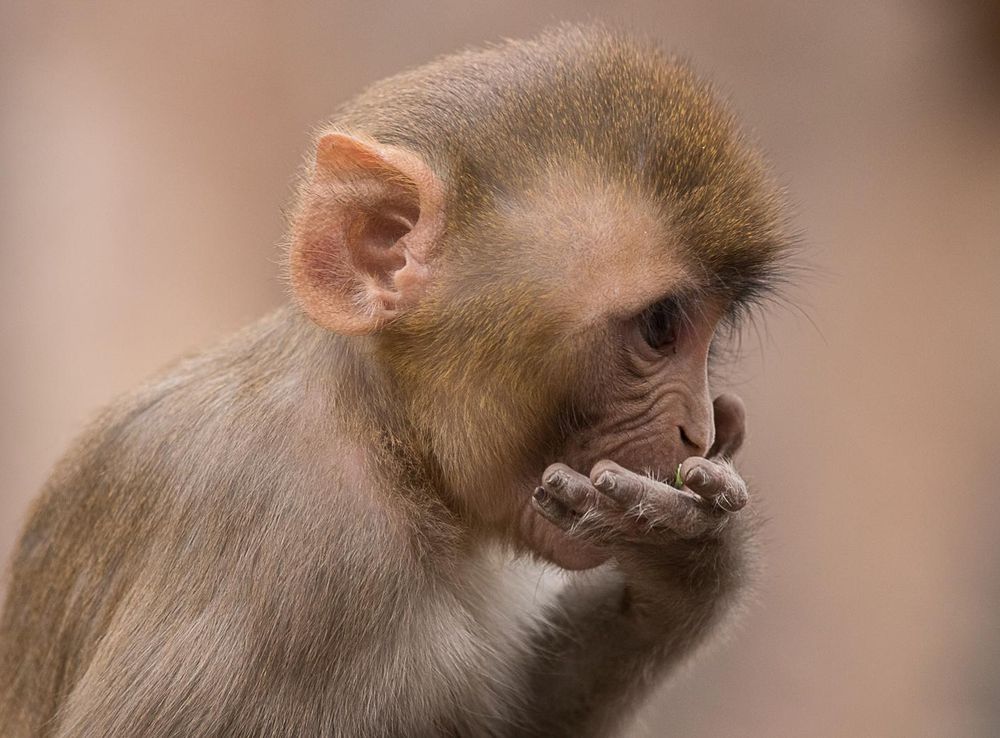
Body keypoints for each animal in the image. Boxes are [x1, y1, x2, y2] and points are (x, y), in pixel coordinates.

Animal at [0, 24, 790, 738]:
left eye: (709, 333)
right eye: (660, 326)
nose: (699, 431)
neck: (390, 441)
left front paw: (684, 569)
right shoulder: (290, 555)